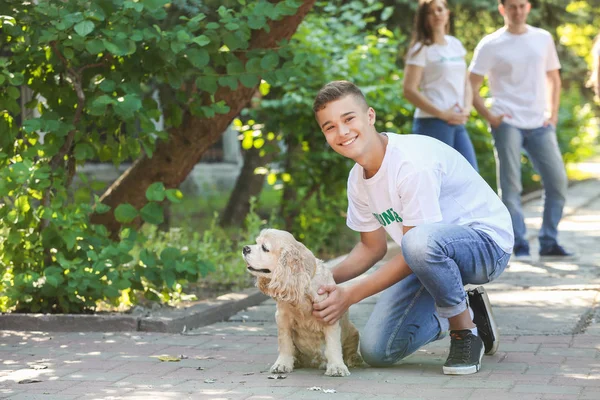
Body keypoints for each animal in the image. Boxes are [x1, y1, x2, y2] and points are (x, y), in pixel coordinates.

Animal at [240, 230, 360, 376]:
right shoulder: (282, 317)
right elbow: (285, 342)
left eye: (264, 247)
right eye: (256, 242)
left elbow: (333, 345)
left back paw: (353, 359)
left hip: (353, 331)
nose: (245, 248)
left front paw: (337, 367)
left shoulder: (330, 315)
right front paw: (282, 364)